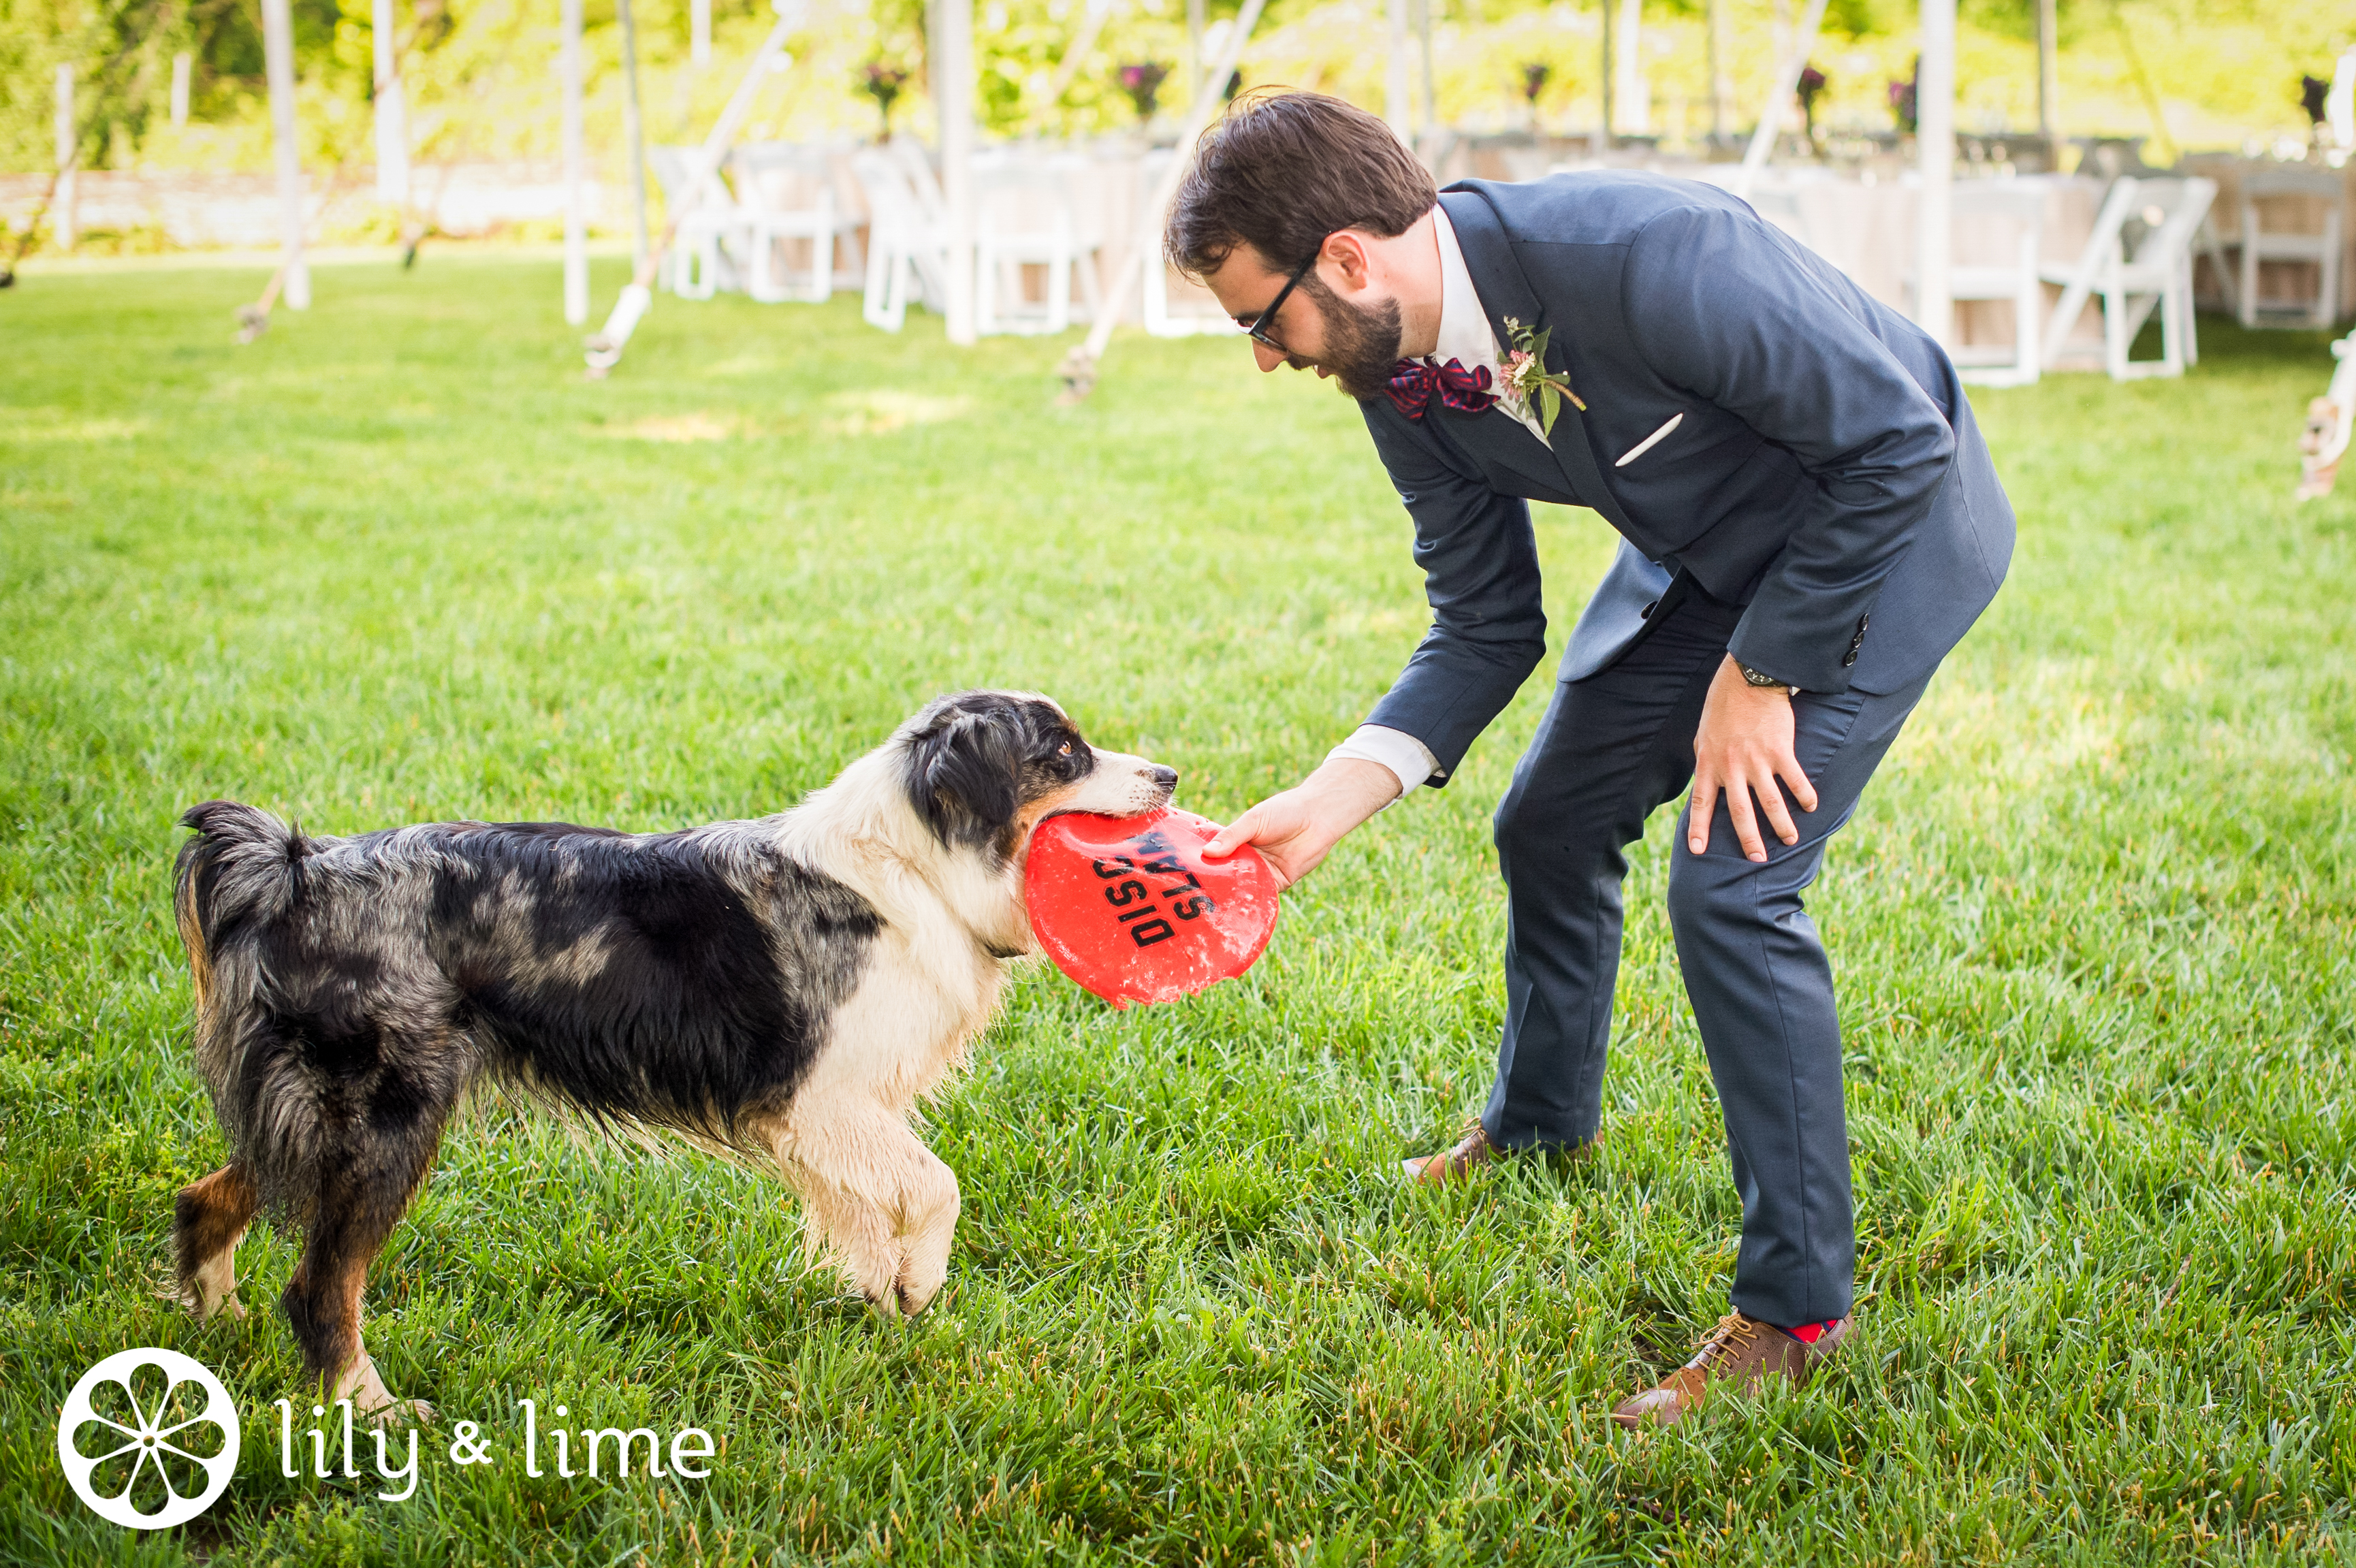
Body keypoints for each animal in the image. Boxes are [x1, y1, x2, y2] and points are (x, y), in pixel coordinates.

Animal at [165, 682, 1178, 1412]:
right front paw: (921, 1283)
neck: (918, 862)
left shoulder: (839, 1113)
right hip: (384, 1118)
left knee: (208, 1194)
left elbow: (859, 1214)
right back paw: (368, 1407)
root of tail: (292, 870)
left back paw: (212, 1326)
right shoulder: (817, 1092)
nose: (1169, 773)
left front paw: (869, 1302)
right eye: (1063, 752)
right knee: (322, 1283)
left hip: (315, 1115)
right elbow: (936, 1185)